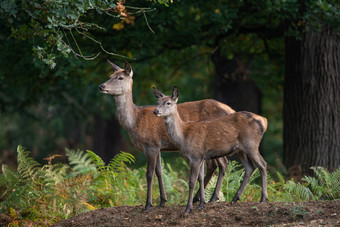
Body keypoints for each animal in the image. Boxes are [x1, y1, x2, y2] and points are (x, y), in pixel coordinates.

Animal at [99, 60, 236, 211]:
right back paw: (200, 199)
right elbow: (159, 172)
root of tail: (231, 110)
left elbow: (149, 174)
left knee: (223, 163)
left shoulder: (151, 145)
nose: (101, 86)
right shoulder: (158, 147)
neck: (135, 121)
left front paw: (148, 204)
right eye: (110, 75)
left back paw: (210, 198)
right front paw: (162, 200)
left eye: (120, 77)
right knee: (215, 165)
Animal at [153, 85, 268, 215]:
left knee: (262, 164)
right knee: (250, 167)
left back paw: (263, 198)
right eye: (157, 102)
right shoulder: (201, 157)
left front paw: (188, 208)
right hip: (241, 149)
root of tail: (264, 121)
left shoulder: (195, 156)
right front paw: (201, 204)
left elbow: (192, 181)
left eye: (168, 102)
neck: (183, 136)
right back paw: (235, 198)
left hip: (251, 144)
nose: (155, 111)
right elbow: (201, 178)